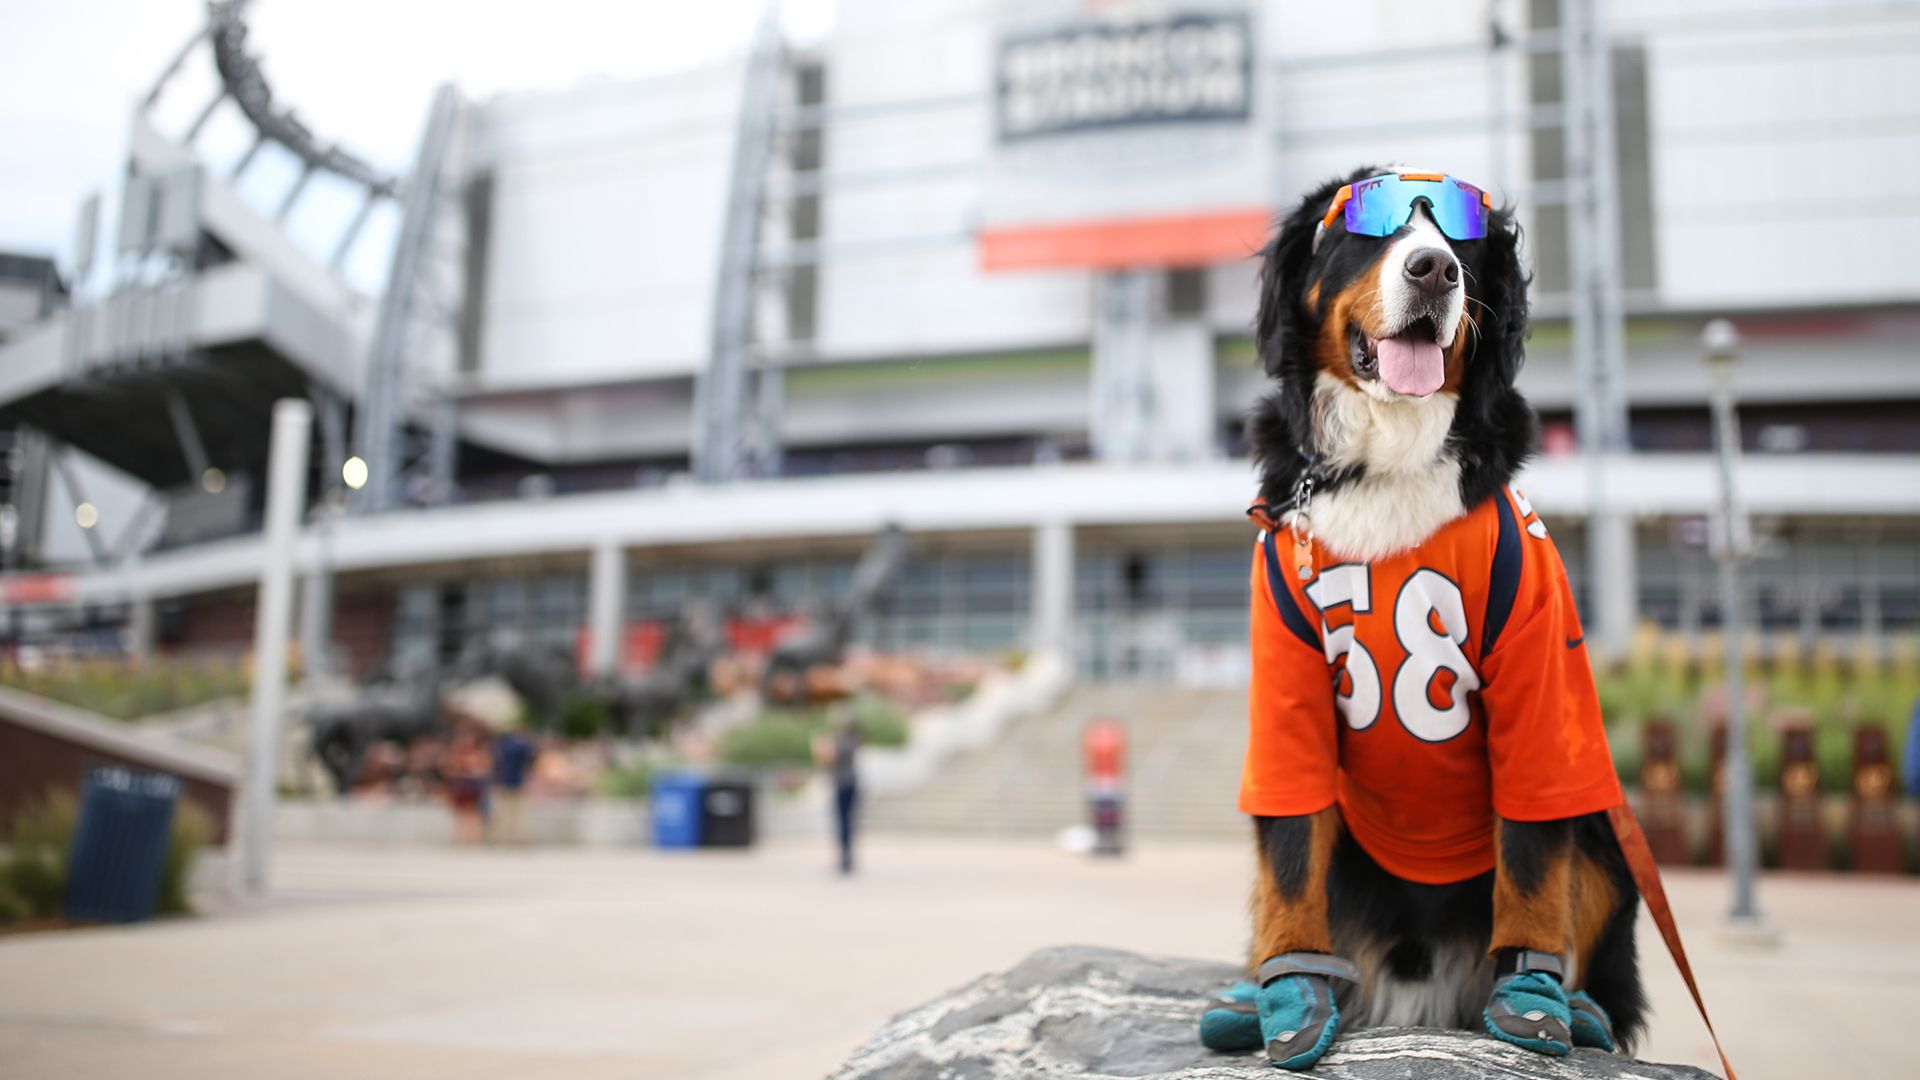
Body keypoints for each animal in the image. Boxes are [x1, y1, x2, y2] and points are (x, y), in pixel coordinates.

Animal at [1190, 164, 1643, 1060]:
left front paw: (1532, 997)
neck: (1385, 461)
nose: (1435, 269)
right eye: (1369, 222)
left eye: (1463, 238)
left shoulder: (1536, 683)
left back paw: (1580, 1011)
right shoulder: (1288, 692)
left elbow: (1532, 860)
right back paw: (1253, 993)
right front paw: (1290, 991)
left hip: (1606, 825)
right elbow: (1290, 857)